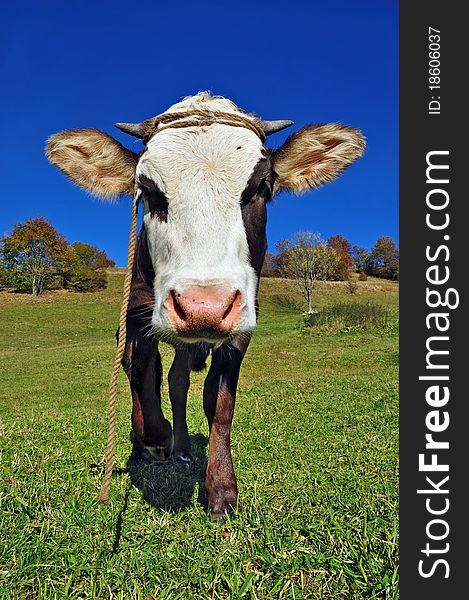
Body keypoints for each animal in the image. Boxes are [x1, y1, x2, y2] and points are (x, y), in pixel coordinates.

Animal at [45, 90, 364, 520]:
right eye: (147, 191)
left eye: (261, 188)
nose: (204, 307)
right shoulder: (135, 312)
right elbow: (139, 372)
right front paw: (155, 436)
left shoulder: (243, 321)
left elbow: (219, 402)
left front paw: (221, 488)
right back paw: (149, 448)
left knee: (179, 382)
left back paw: (181, 448)